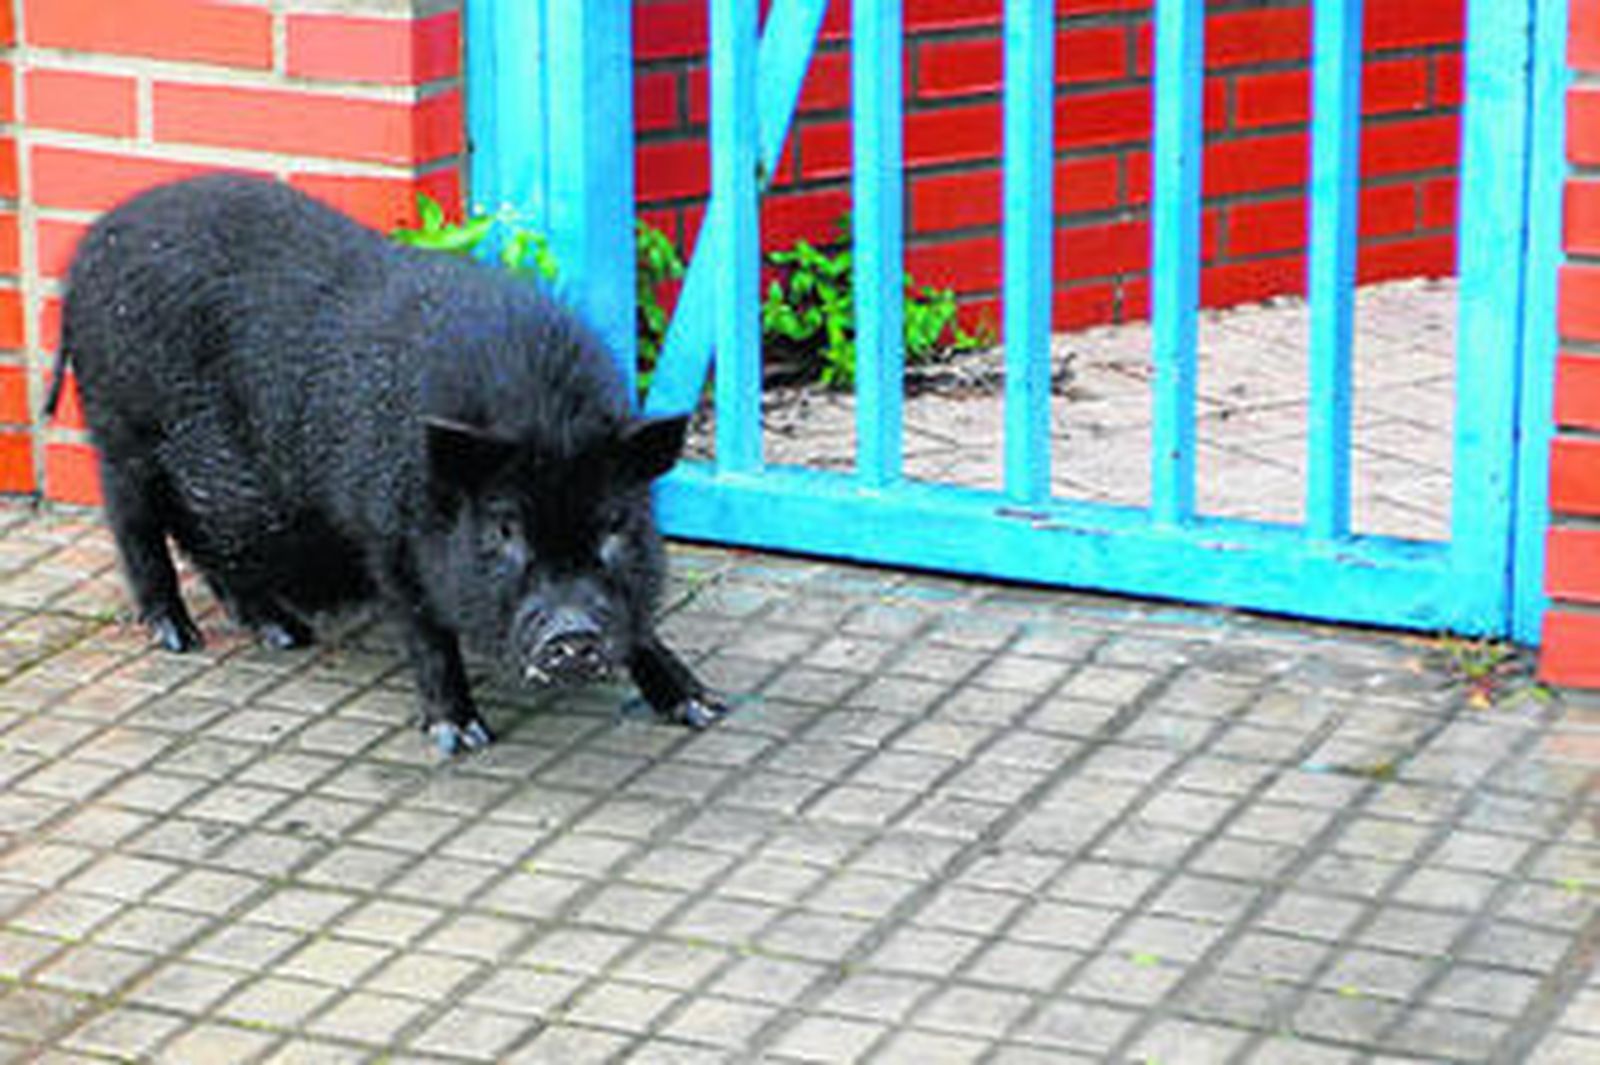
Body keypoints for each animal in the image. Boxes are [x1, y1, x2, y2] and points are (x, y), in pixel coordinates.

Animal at [47, 174, 725, 753]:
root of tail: (87, 256)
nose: (572, 633)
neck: (539, 409)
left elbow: (642, 627)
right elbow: (426, 632)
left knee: (208, 541)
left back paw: (286, 634)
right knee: (136, 525)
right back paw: (180, 637)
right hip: (121, 430)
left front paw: (705, 708)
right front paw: (461, 738)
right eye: (504, 528)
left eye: (614, 525)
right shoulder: (387, 530)